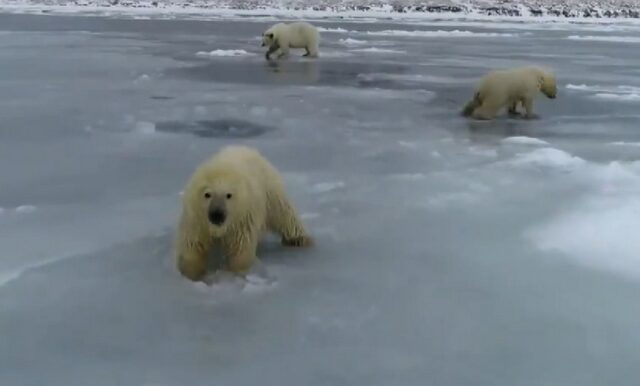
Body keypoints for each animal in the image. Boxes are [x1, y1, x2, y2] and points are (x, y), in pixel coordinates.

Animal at [175, 145, 316, 280]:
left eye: (228, 195)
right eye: (207, 194)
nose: (217, 215)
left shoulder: (243, 218)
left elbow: (240, 248)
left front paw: (236, 273)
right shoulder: (196, 219)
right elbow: (193, 246)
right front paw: (192, 274)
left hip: (270, 189)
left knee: (283, 212)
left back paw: (298, 239)